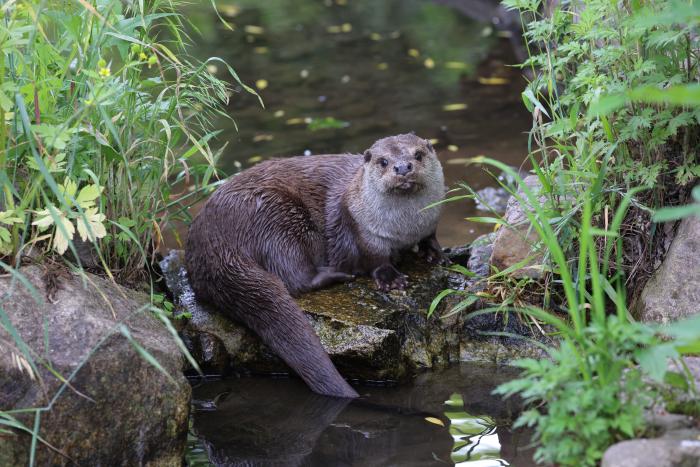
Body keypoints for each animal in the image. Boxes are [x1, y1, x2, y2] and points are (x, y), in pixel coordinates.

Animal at [186, 134, 446, 398]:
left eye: (418, 155)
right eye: (383, 161)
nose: (402, 168)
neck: (404, 230)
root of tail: (210, 242)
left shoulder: (431, 221)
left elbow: (430, 237)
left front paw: (435, 253)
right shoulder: (363, 232)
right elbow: (374, 259)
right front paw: (390, 277)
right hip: (276, 217)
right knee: (294, 277)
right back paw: (338, 274)